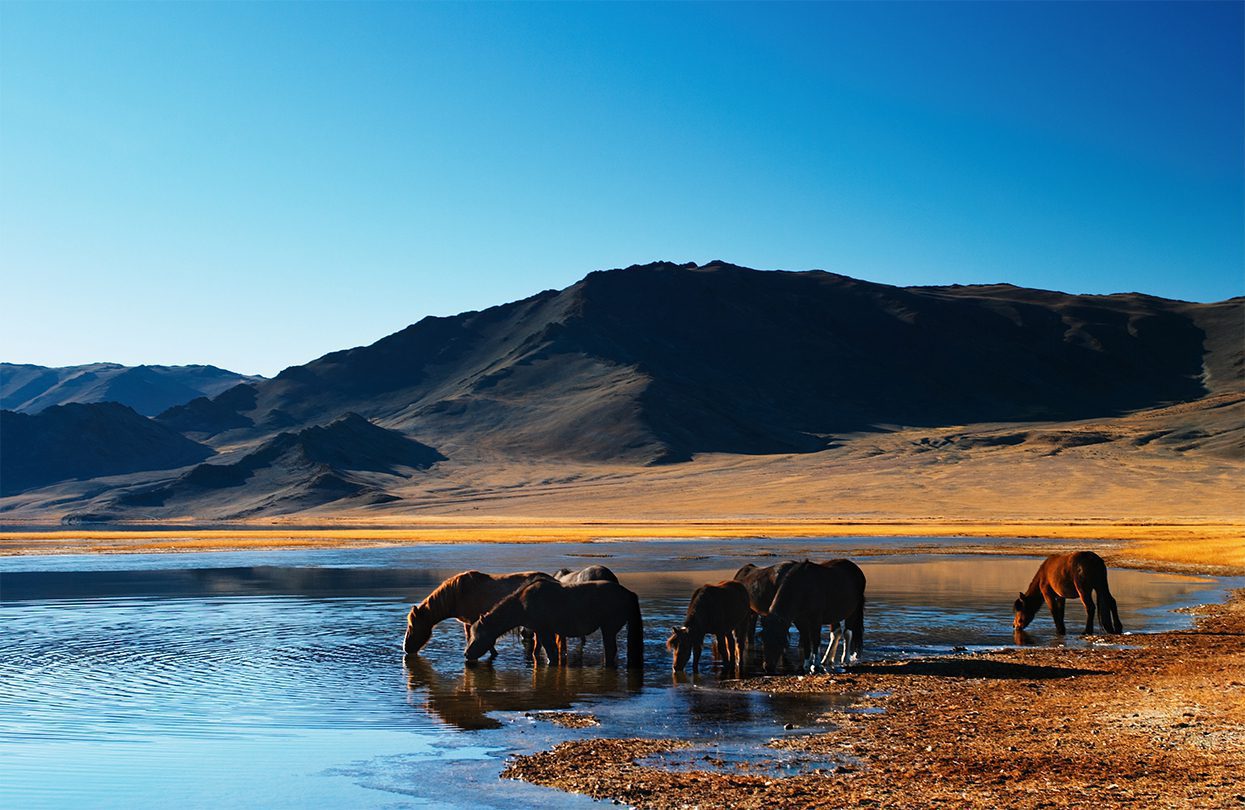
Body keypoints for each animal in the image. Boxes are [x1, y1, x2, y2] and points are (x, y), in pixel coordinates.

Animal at [403, 569, 550, 656]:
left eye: (412, 626)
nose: (406, 648)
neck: (458, 594)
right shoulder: (469, 623)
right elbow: (471, 638)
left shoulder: (475, 621)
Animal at [463, 582, 647, 671]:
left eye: (479, 634)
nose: (466, 653)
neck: (523, 604)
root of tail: (629, 594)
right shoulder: (539, 631)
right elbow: (539, 649)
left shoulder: (544, 630)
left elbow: (551, 653)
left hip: (608, 628)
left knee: (610, 650)